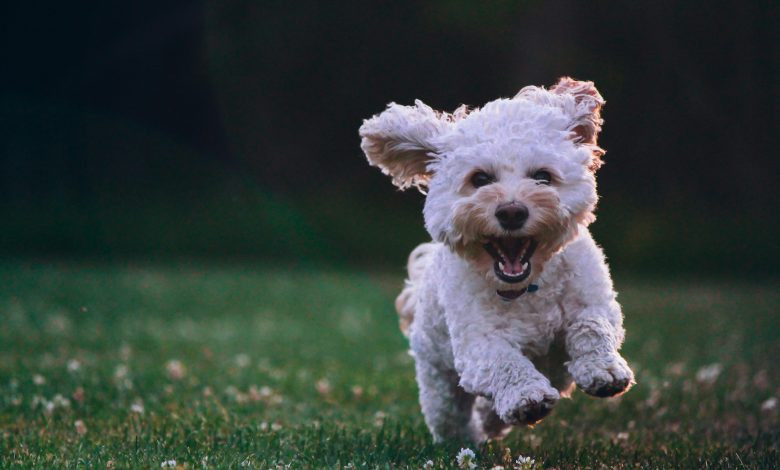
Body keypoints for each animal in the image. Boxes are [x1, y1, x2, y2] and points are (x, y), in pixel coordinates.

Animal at [360, 78, 632, 444]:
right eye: (480, 179)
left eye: (543, 176)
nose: (512, 211)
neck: (528, 288)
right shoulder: (477, 344)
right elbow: (504, 361)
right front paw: (526, 397)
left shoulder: (595, 301)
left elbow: (592, 326)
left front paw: (604, 370)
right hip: (438, 378)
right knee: (450, 415)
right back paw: (469, 437)